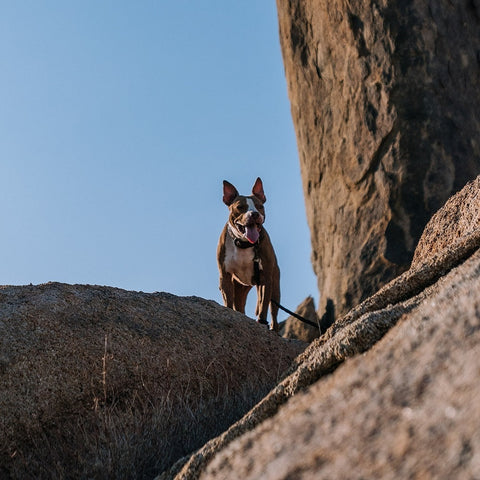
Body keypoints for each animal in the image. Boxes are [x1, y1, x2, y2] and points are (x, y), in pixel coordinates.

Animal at [216, 178, 280, 332]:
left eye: (259, 206)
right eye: (240, 207)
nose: (254, 214)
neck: (244, 243)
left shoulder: (265, 278)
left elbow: (263, 304)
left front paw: (262, 322)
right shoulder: (225, 276)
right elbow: (228, 301)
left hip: (275, 286)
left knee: (273, 311)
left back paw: (274, 329)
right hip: (239, 287)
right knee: (238, 306)